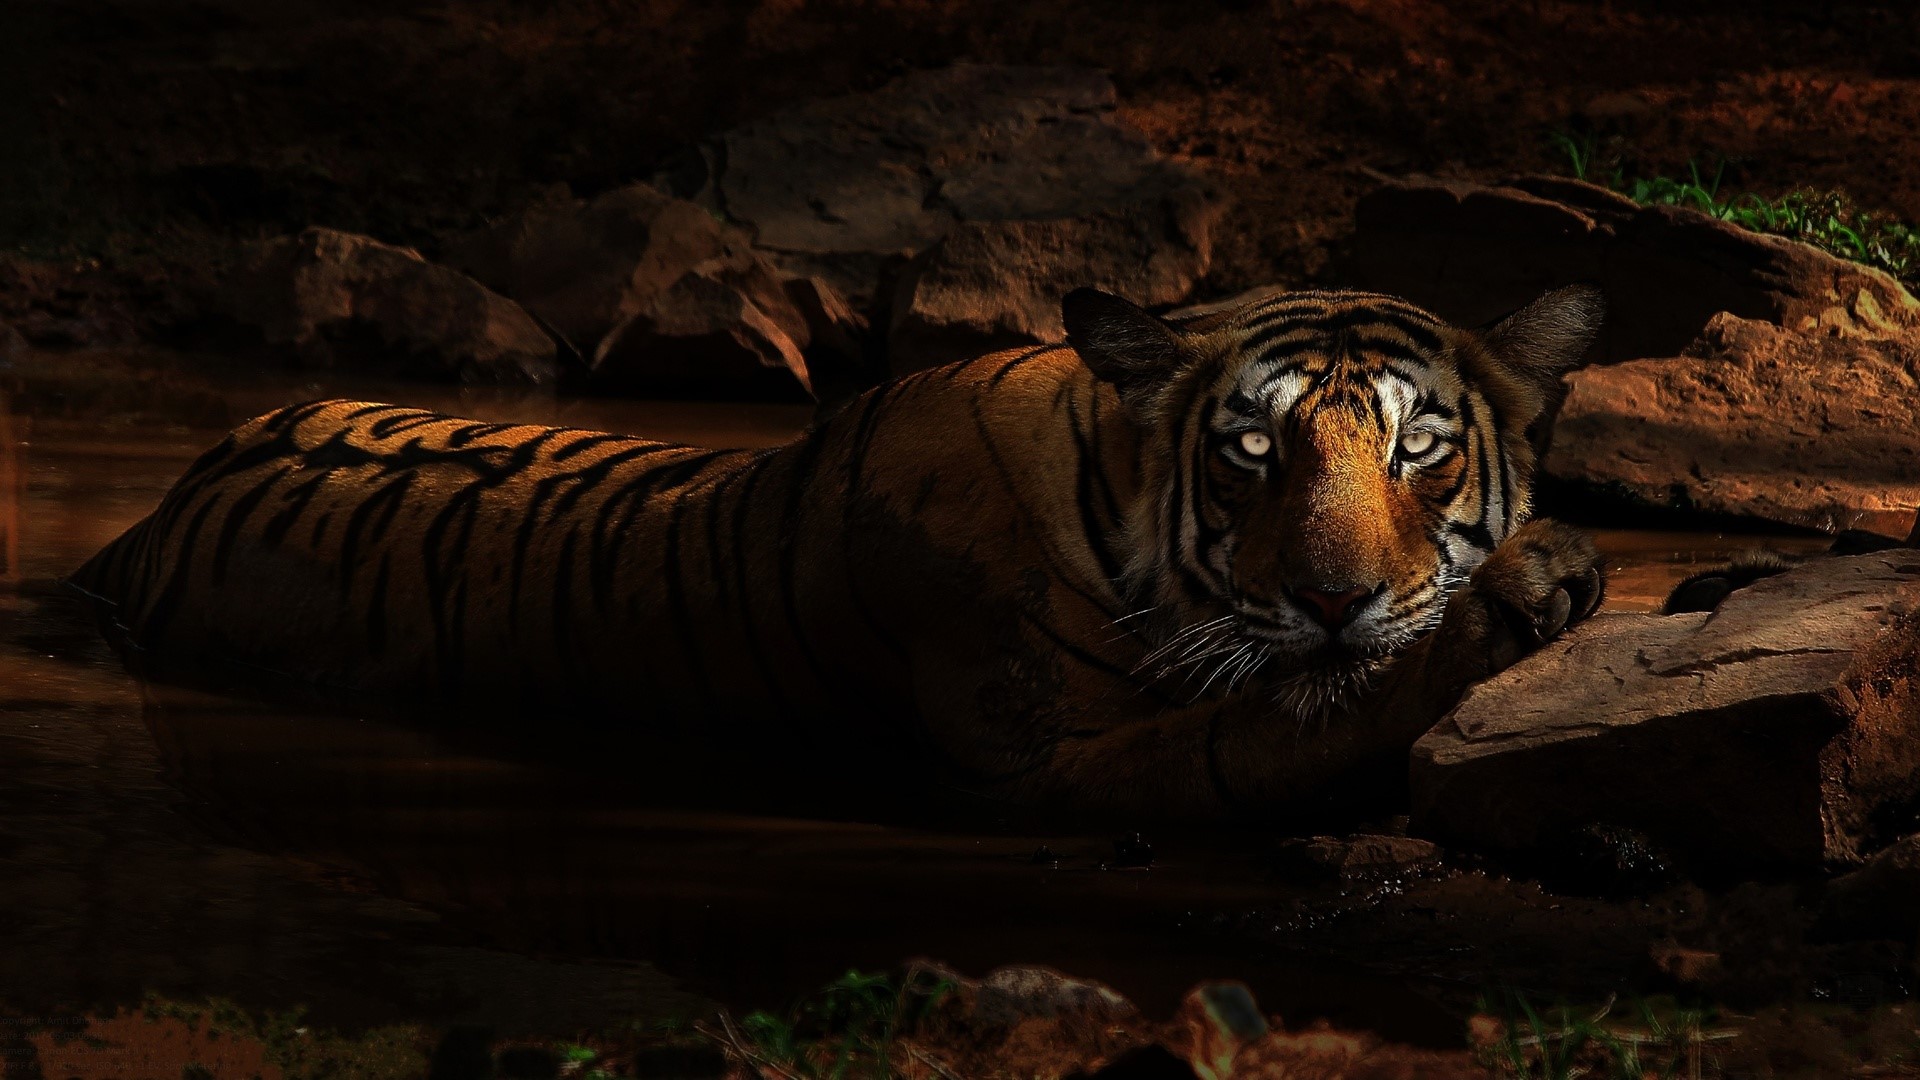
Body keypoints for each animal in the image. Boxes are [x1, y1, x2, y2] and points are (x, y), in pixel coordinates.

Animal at [69, 284, 1607, 823]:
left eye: (1418, 451)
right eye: (1250, 455)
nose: (1335, 597)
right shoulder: (1042, 762)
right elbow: (1295, 716)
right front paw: (1528, 590)